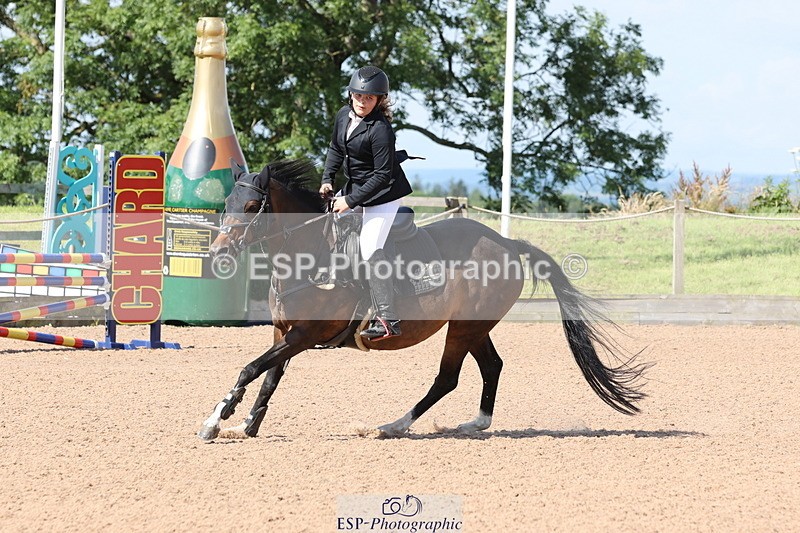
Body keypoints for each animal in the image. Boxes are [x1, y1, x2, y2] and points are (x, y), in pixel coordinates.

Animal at [197, 159, 648, 441]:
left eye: (251, 205)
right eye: (226, 204)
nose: (218, 253)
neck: (309, 250)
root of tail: (505, 242)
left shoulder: (305, 334)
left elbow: (250, 369)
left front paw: (216, 420)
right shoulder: (284, 333)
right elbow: (268, 378)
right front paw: (246, 426)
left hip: (462, 328)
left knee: (447, 378)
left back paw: (393, 426)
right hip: (473, 327)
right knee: (492, 366)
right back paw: (474, 423)